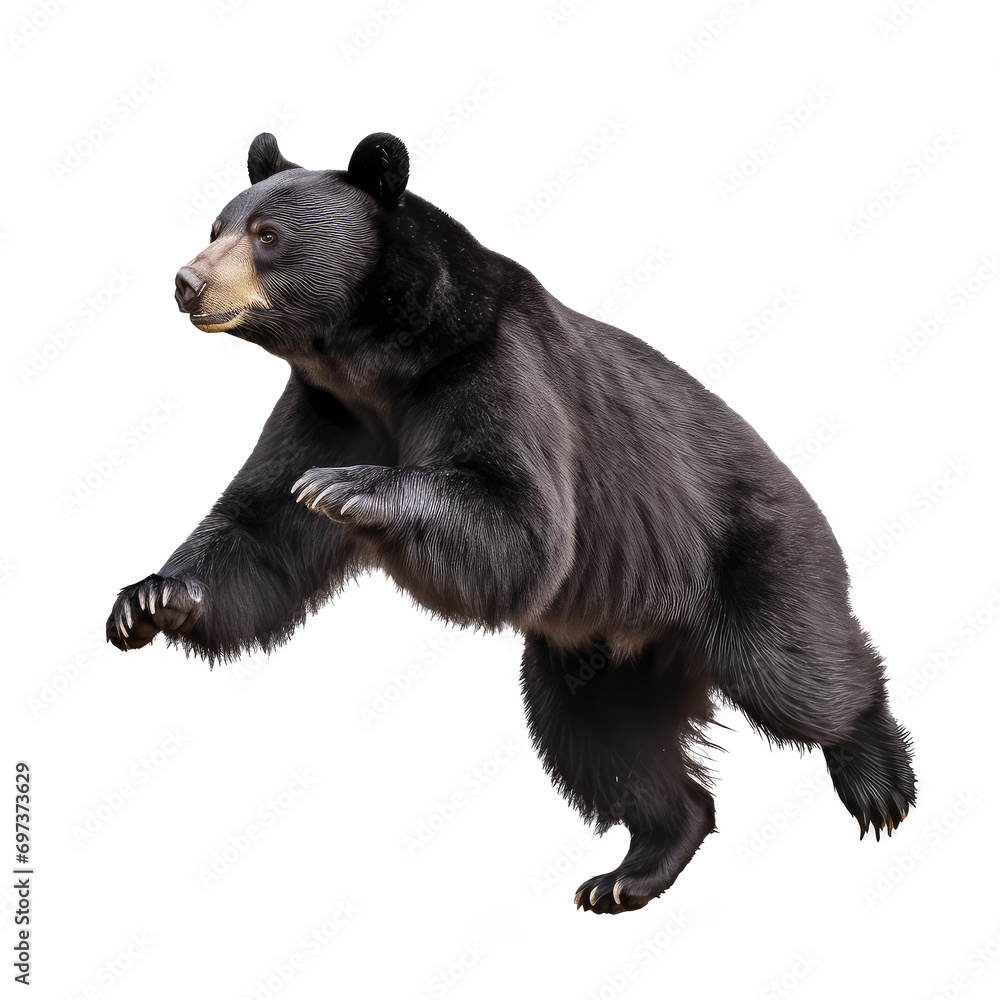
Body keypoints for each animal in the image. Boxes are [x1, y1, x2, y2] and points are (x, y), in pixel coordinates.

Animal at [106, 131, 916, 914]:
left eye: (268, 235)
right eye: (217, 226)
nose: (187, 281)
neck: (380, 362)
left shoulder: (497, 369)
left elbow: (522, 525)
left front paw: (347, 489)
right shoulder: (326, 410)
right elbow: (261, 526)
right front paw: (150, 599)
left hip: (751, 553)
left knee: (795, 671)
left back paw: (878, 782)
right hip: (603, 647)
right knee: (604, 740)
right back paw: (633, 870)